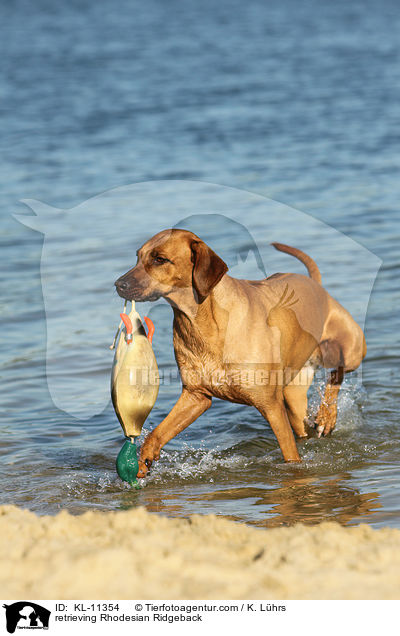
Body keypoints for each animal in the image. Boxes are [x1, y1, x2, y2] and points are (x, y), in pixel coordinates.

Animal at [115, 229, 366, 476]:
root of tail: (316, 285)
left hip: (351, 346)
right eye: (138, 257)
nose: (118, 284)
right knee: (302, 422)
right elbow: (156, 433)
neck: (203, 321)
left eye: (160, 259)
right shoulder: (196, 396)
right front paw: (142, 461)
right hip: (294, 396)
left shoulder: (270, 405)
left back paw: (326, 416)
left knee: (339, 372)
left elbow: (290, 454)